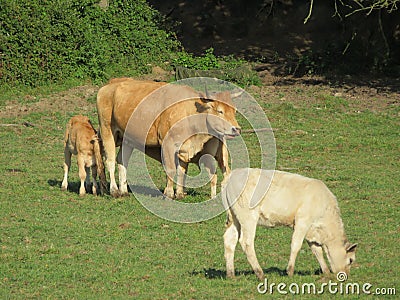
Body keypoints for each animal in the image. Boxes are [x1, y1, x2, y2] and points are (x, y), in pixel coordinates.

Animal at [97, 78, 241, 198]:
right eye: (220, 111)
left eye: (234, 111)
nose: (237, 129)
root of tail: (110, 84)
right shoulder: (168, 144)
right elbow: (171, 169)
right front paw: (169, 193)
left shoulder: (183, 148)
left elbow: (181, 170)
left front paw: (180, 193)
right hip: (107, 130)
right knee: (110, 161)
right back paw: (114, 191)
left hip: (127, 139)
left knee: (122, 160)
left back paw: (124, 190)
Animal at [223, 168, 358, 280]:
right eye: (351, 260)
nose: (345, 276)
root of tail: (232, 175)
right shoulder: (303, 221)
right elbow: (296, 245)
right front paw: (290, 271)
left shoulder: (311, 230)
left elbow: (317, 250)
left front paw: (326, 272)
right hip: (248, 217)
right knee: (246, 242)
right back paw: (260, 273)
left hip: (234, 217)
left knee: (230, 240)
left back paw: (231, 274)